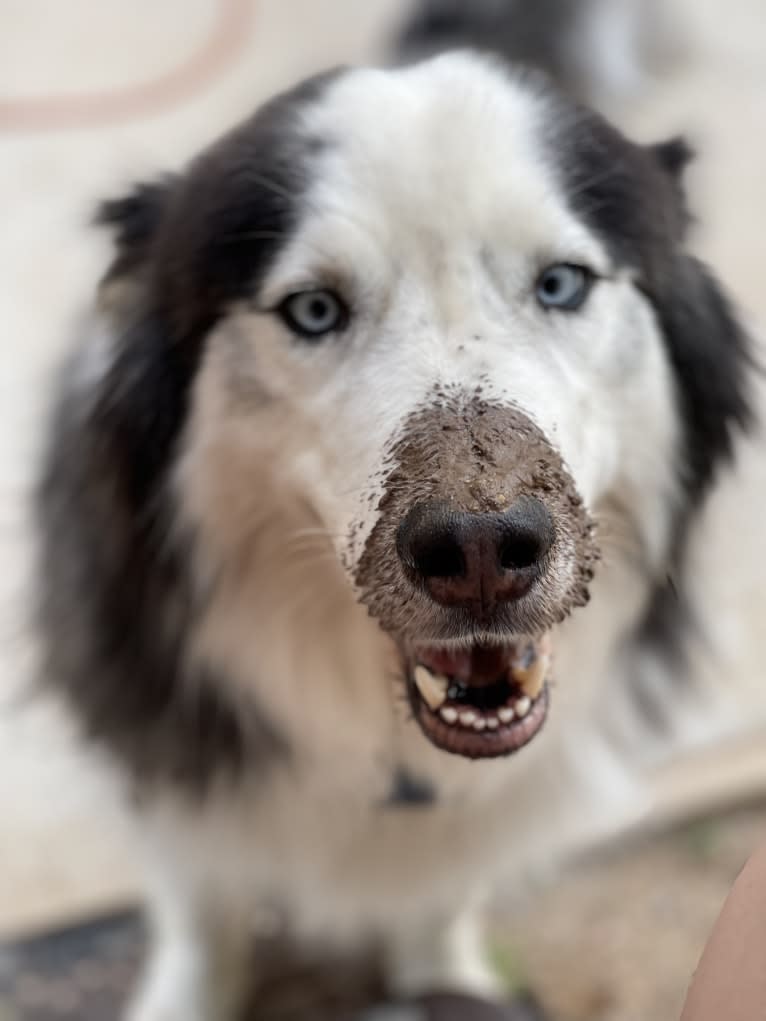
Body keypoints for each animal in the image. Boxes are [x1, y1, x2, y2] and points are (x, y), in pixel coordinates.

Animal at [32, 1, 751, 1021]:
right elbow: (203, 905)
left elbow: (437, 902)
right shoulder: (160, 732)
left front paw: (447, 979)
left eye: (562, 283)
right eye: (313, 309)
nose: (484, 550)